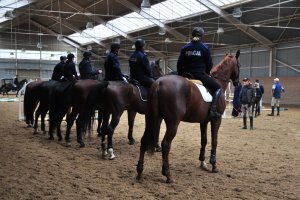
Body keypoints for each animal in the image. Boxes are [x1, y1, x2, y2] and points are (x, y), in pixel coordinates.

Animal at [137, 50, 240, 183]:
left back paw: (140, 172)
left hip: (151, 119)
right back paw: (168, 175)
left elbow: (204, 140)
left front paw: (202, 163)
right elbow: (214, 141)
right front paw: (214, 165)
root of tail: (159, 82)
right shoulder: (216, 120)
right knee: (166, 144)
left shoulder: (204, 121)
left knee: (144, 140)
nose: (237, 82)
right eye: (239, 65)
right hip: (173, 123)